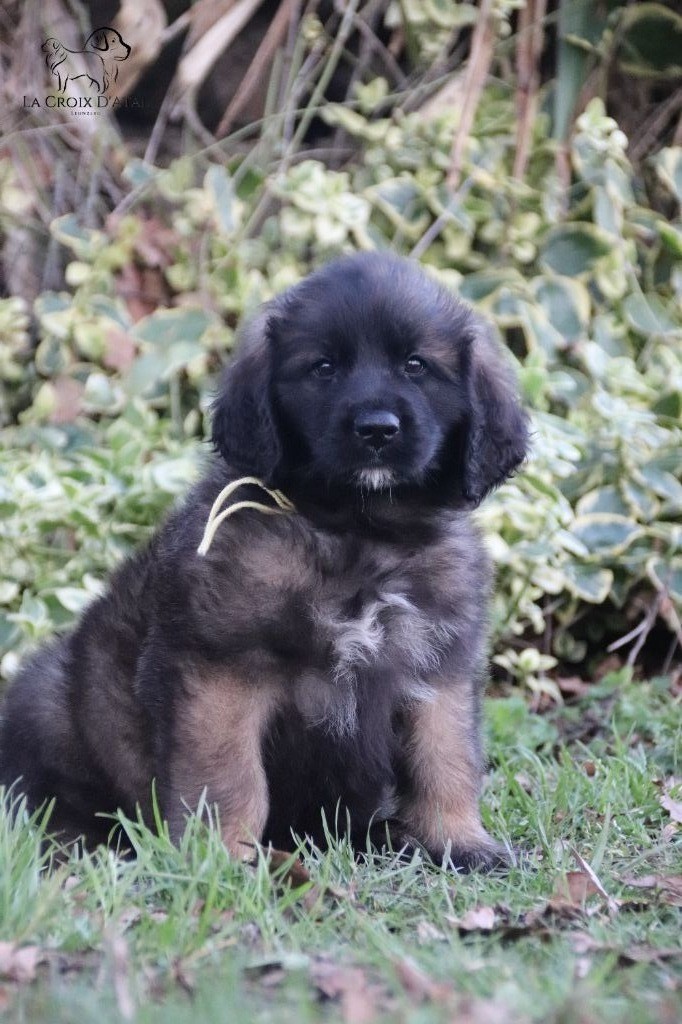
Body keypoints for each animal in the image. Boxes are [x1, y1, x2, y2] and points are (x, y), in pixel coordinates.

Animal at [0, 254, 529, 869]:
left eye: (416, 366)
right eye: (323, 368)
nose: (376, 429)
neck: (357, 529)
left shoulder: (439, 670)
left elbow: (446, 760)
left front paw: (460, 842)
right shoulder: (222, 671)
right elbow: (230, 777)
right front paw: (225, 859)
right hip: (48, 697)